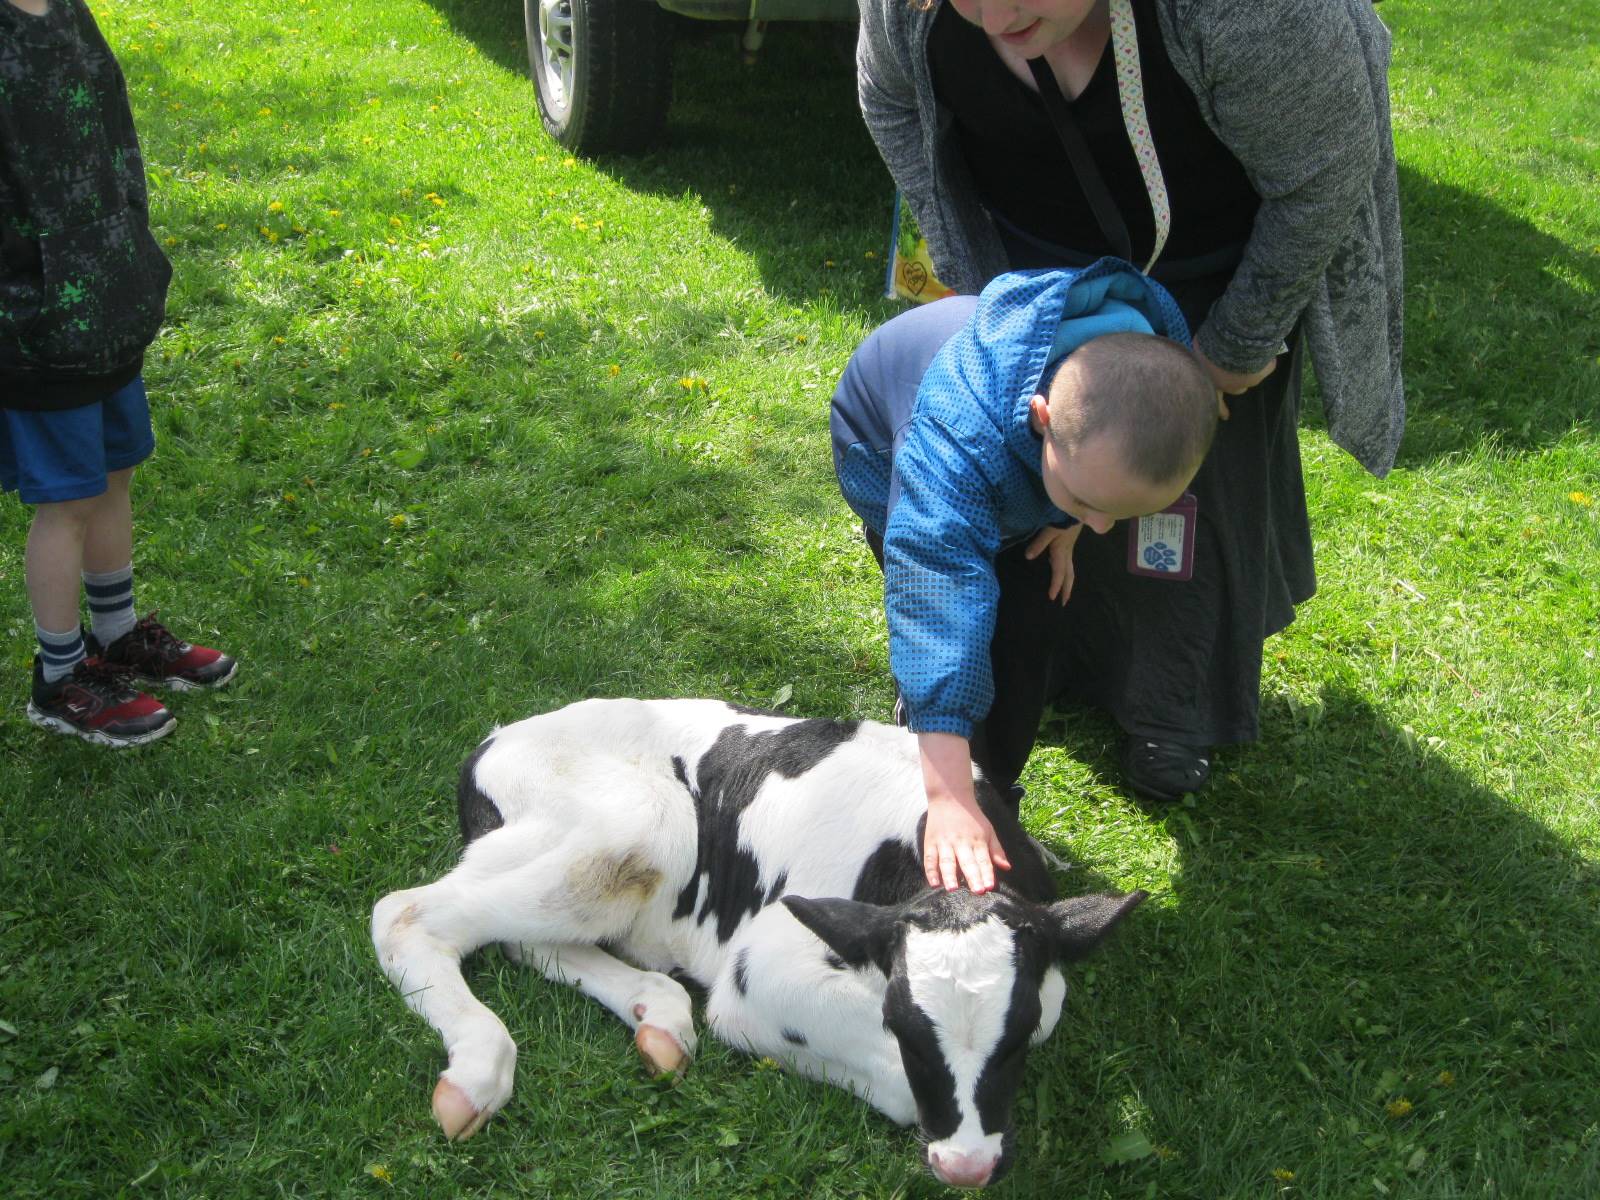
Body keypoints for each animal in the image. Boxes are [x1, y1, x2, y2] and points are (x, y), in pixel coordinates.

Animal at [371, 700, 1152, 1190]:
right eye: (904, 1027)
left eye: (1015, 1037)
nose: (967, 1167)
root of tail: (493, 741)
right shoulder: (761, 970)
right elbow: (899, 1085)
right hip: (639, 826)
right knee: (403, 914)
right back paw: (476, 1072)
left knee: (522, 941)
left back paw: (660, 1020)